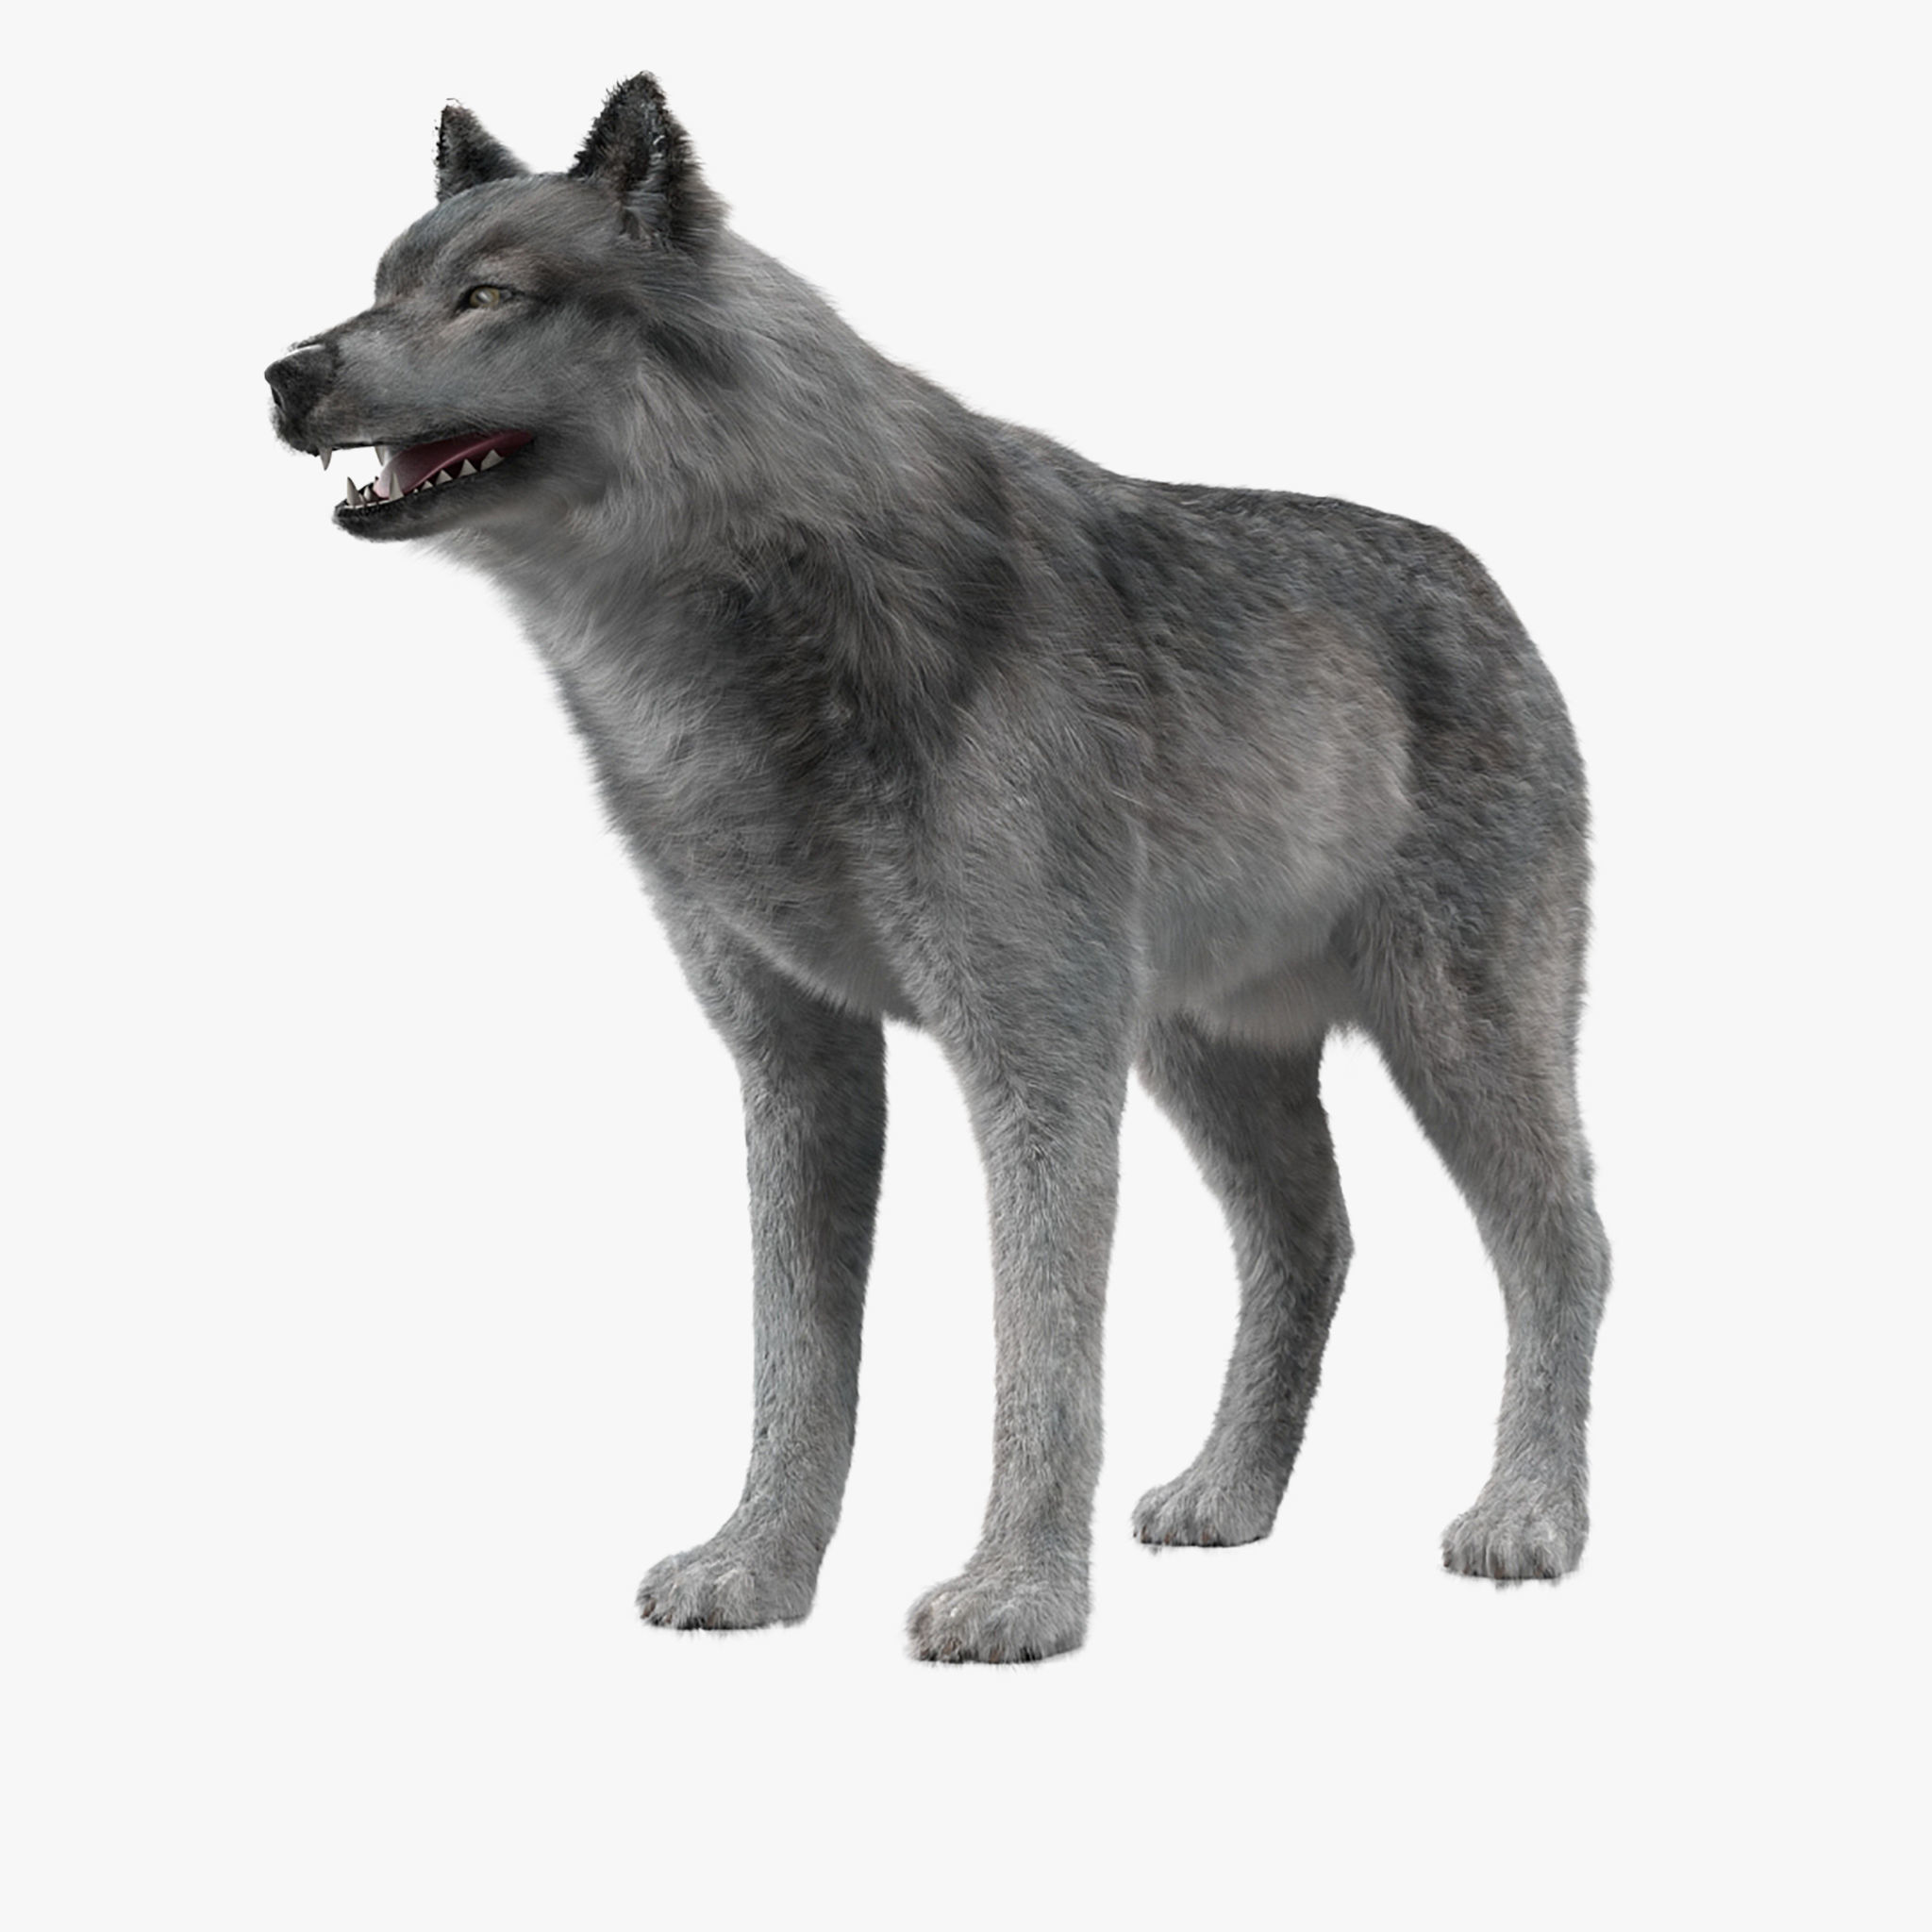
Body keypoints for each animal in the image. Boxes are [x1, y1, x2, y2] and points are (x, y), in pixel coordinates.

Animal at [266, 75, 1610, 1663]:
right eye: (379, 287)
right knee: (1313, 1241)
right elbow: (798, 1364)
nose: (282, 375)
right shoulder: (800, 1060)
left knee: (1566, 1246)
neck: (729, 637)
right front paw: (758, 1571)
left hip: (1454, 1039)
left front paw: (1017, 1600)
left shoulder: (1036, 1056)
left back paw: (1530, 1520)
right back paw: (1227, 1496)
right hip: (1207, 1059)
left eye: (485, 296)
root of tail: (1479, 580)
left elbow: (1041, 1355)